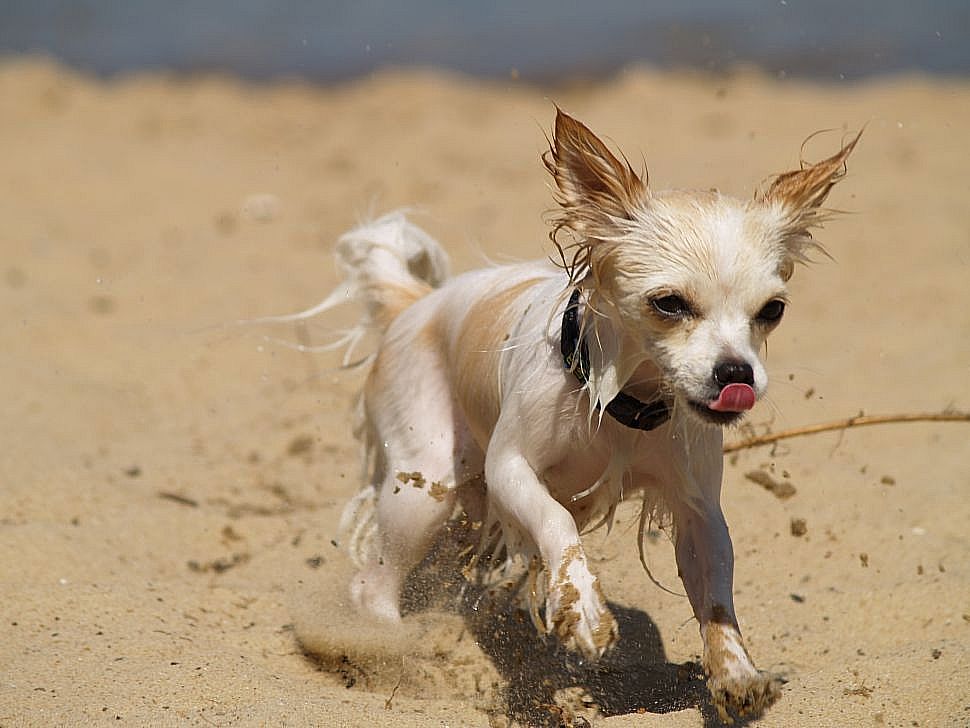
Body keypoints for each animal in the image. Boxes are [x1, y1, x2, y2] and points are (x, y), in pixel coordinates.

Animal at [310, 111, 856, 720]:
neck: (629, 405)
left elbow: (717, 599)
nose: (736, 373)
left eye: (772, 311)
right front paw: (586, 614)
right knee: (372, 585)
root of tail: (416, 302)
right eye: (669, 304)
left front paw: (736, 672)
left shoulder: (699, 513)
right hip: (424, 487)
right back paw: (390, 647)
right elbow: (556, 521)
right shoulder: (510, 468)